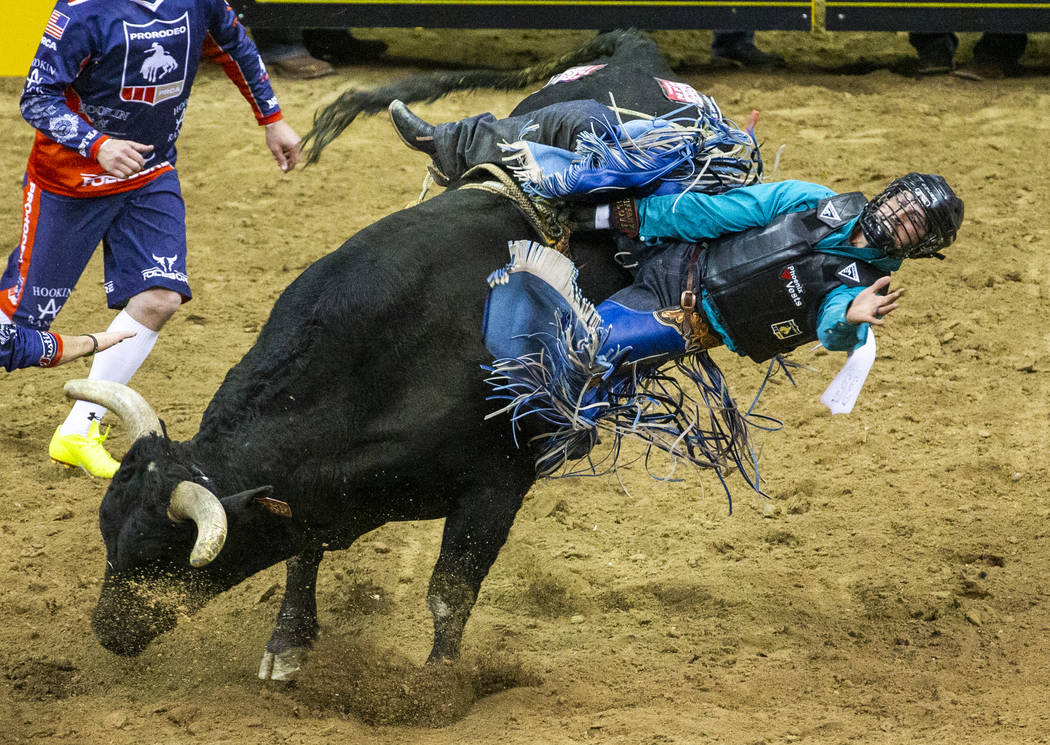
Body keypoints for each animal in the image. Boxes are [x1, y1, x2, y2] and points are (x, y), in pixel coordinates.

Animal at [69, 32, 722, 679]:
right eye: (107, 532)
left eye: (162, 556)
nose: (106, 630)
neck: (376, 372)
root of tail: (633, 49)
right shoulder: (313, 496)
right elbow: (302, 553)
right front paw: (288, 642)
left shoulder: (497, 485)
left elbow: (450, 591)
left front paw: (438, 684)